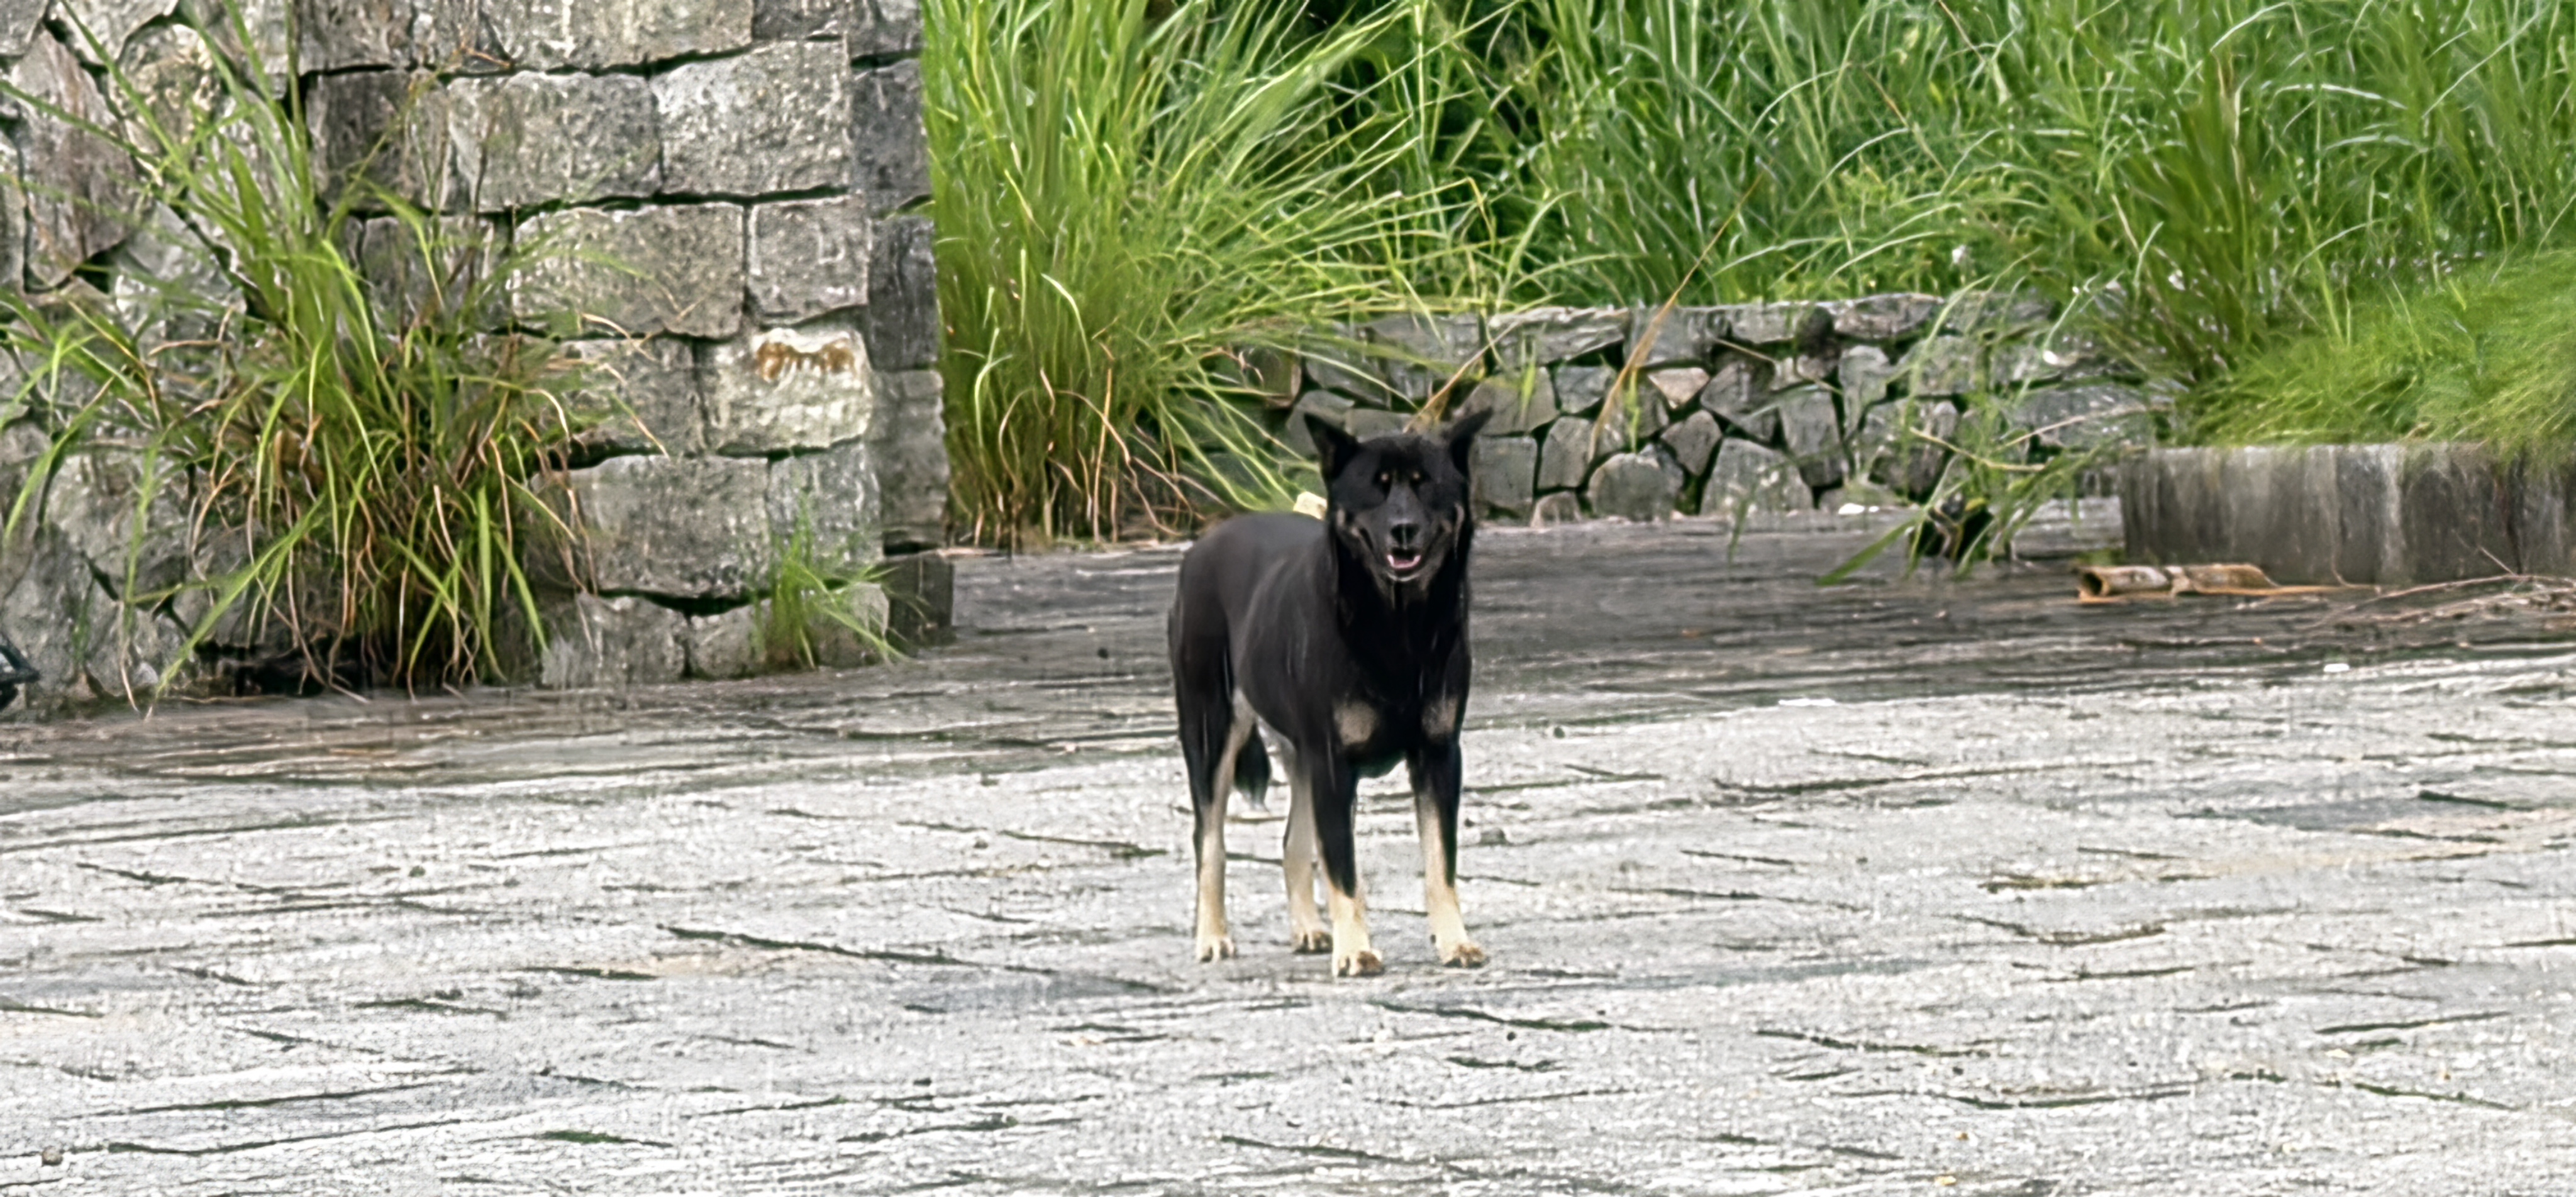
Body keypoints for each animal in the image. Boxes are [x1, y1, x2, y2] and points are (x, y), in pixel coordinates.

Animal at [1166, 408, 1492, 976]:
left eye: (1426, 486)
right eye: (1376, 489)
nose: (1403, 530)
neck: (1398, 625)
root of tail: (1203, 545)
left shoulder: (1438, 755)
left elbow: (1440, 862)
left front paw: (1454, 941)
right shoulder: (1334, 761)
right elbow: (1342, 865)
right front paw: (1356, 948)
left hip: (1300, 756)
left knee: (1293, 842)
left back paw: (1308, 927)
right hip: (1212, 730)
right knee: (1210, 840)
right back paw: (1213, 935)